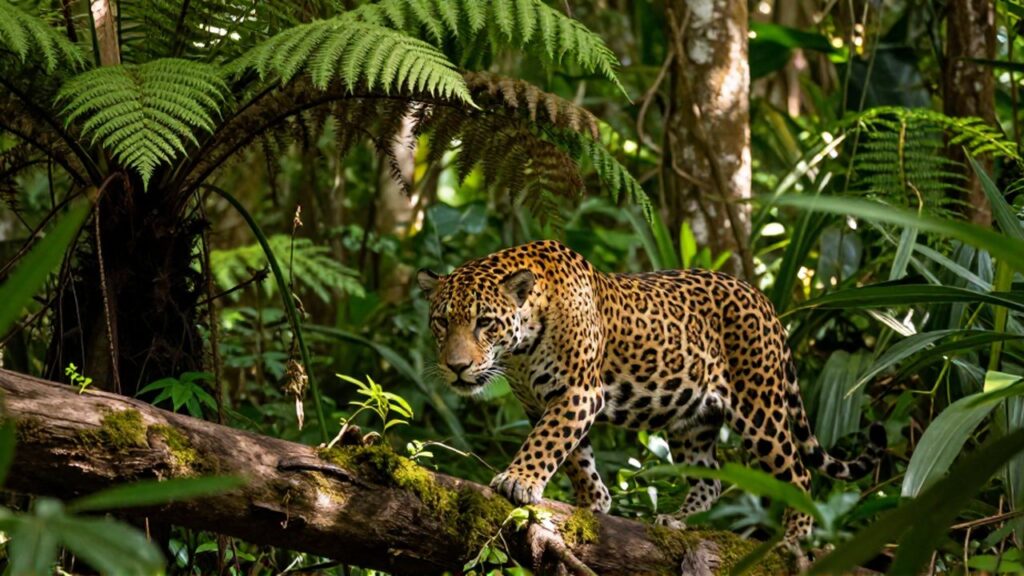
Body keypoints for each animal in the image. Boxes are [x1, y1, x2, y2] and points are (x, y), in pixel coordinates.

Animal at [417, 240, 886, 559]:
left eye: (485, 322)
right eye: (441, 322)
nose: (457, 367)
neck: (520, 349)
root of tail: (763, 300)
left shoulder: (578, 392)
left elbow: (546, 443)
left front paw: (519, 480)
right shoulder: (541, 403)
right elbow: (575, 456)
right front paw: (594, 503)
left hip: (760, 407)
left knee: (798, 473)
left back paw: (793, 539)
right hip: (692, 419)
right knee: (711, 477)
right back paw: (678, 519)